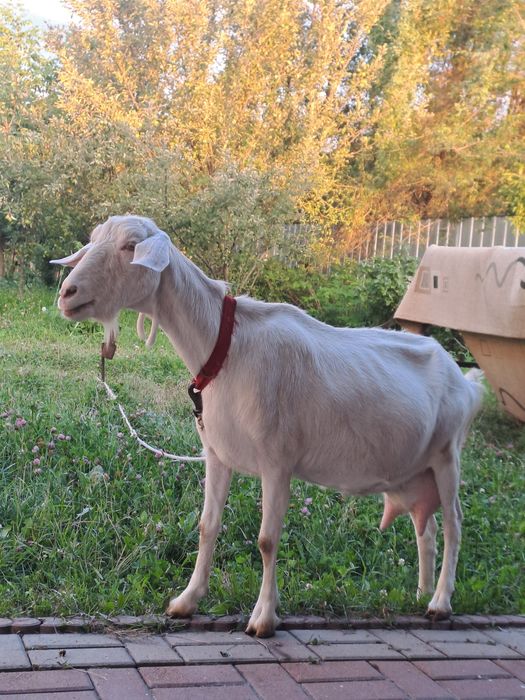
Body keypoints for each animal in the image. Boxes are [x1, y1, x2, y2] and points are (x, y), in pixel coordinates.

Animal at [51, 215, 484, 637]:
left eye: (130, 246)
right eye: (95, 239)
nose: (67, 294)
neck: (226, 346)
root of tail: (466, 382)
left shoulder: (277, 461)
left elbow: (266, 540)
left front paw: (263, 618)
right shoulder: (216, 453)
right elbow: (208, 525)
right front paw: (186, 601)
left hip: (447, 456)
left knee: (454, 526)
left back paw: (440, 602)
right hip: (414, 472)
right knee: (425, 528)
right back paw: (420, 593)